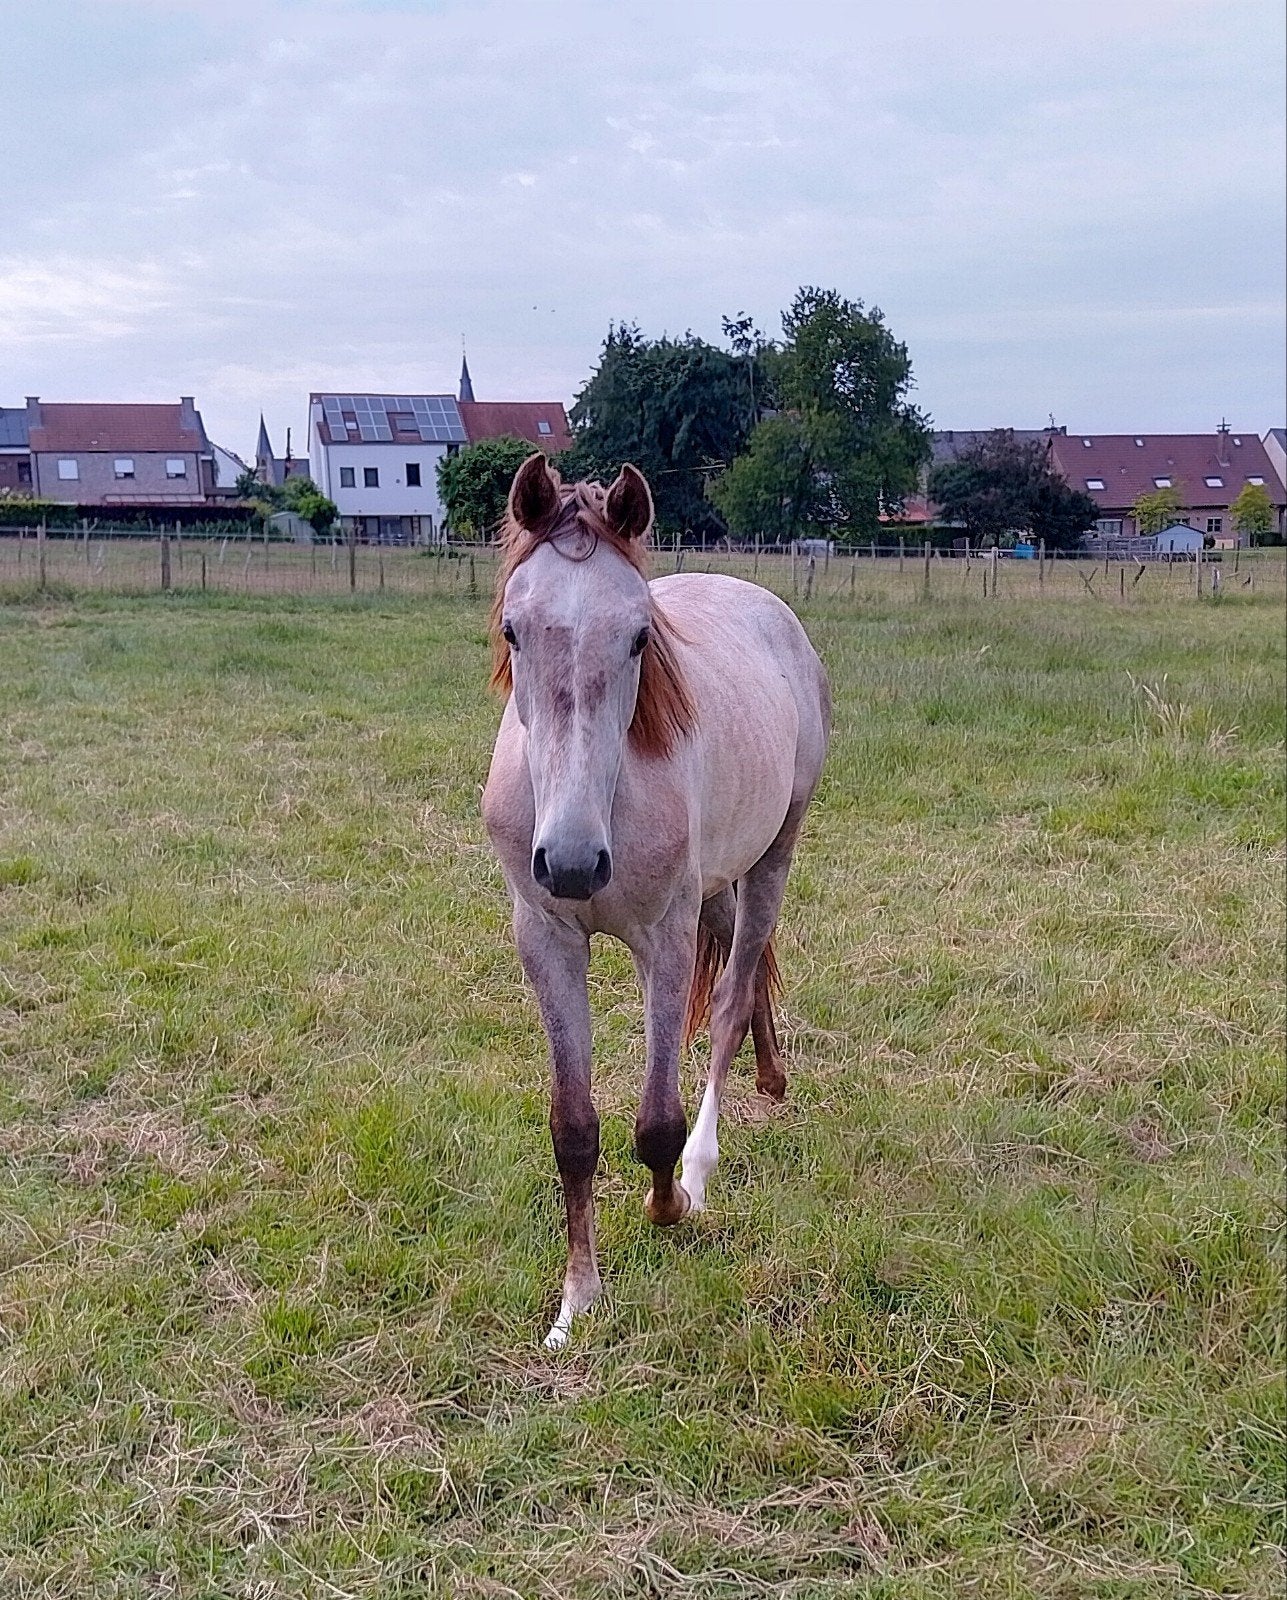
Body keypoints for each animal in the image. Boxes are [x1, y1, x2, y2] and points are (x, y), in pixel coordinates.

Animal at [482, 455, 831, 1349]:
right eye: (513, 630)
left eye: (640, 635)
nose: (572, 863)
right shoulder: (546, 938)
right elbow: (573, 1129)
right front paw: (576, 1304)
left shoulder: (662, 940)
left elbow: (655, 1121)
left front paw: (667, 1202)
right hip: (715, 886)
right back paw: (770, 1078)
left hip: (772, 858)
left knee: (732, 999)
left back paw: (704, 1169)